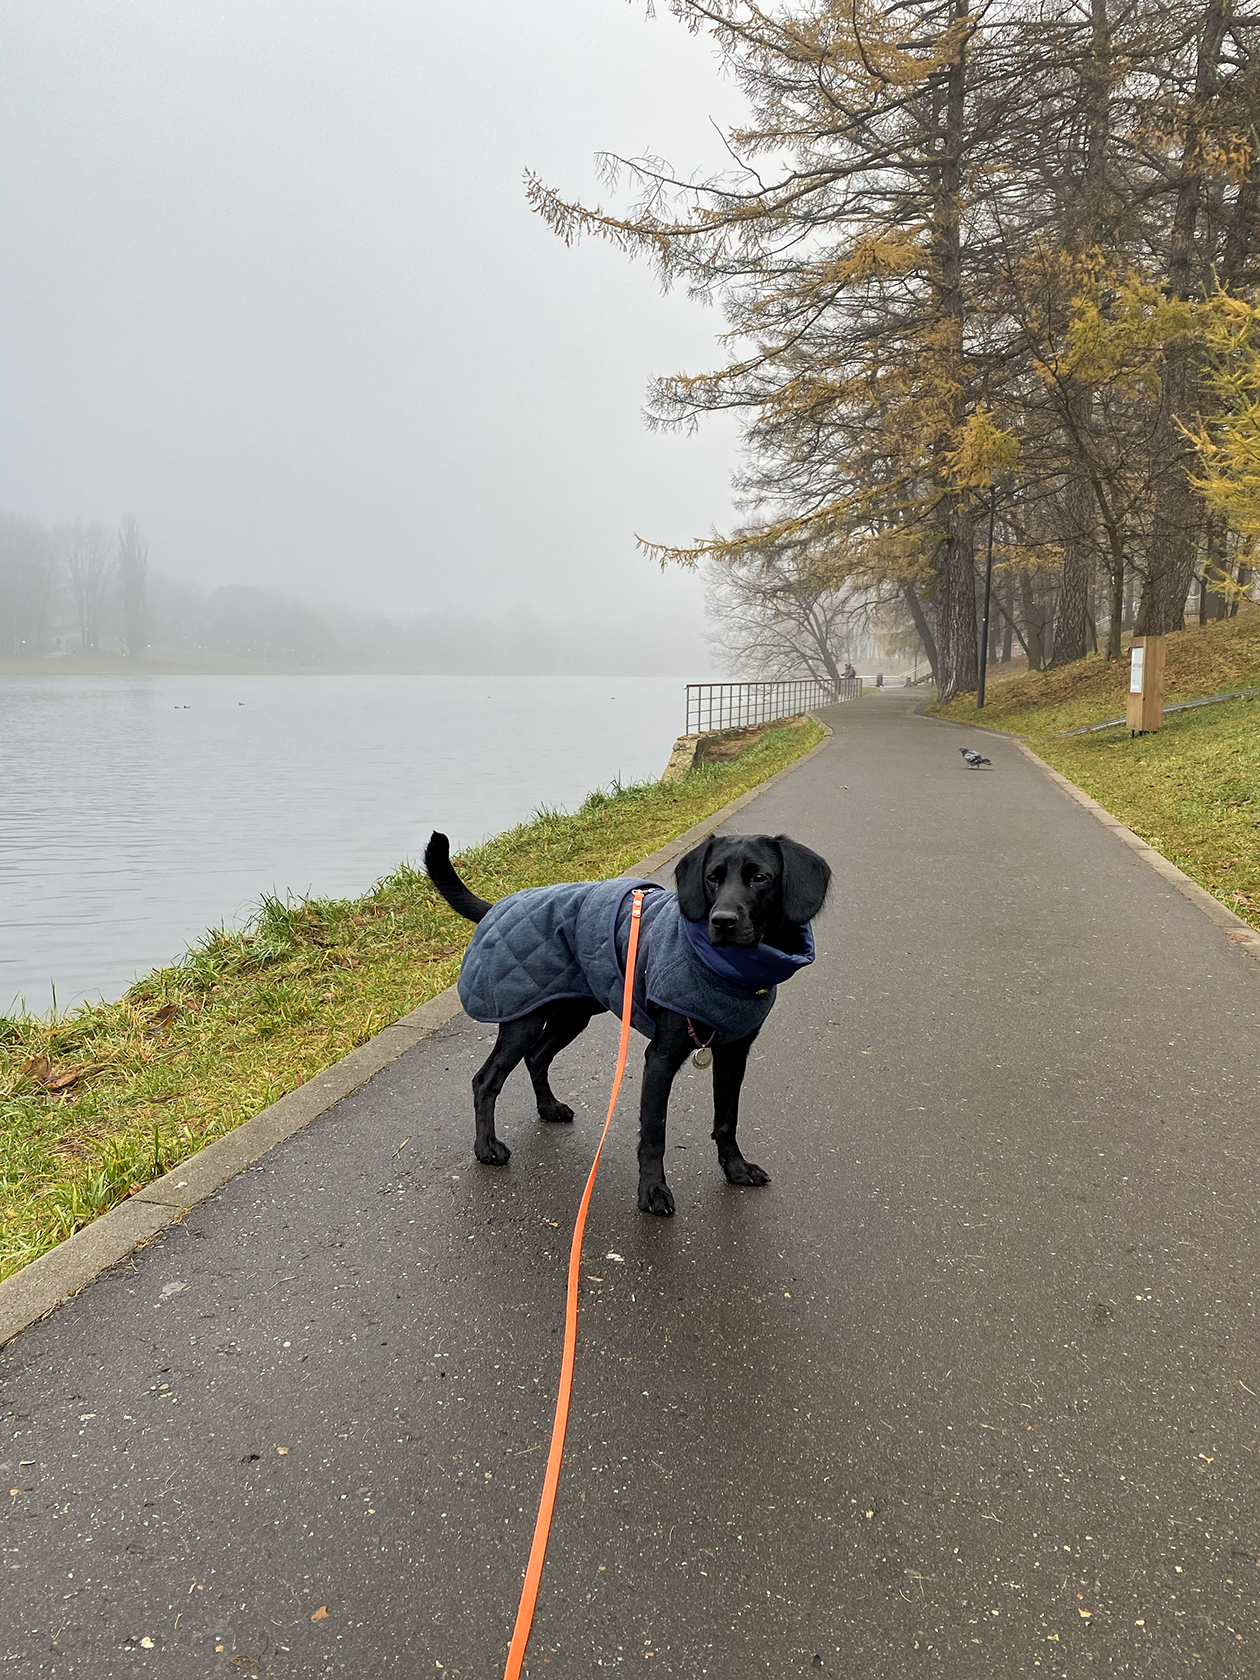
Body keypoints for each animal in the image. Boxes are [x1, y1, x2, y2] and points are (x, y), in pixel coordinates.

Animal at [430, 829, 833, 1216]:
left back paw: (549, 1108)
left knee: (538, 1057)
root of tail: (500, 904)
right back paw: (486, 1146)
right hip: (523, 1021)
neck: (729, 970)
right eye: (712, 878)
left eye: (760, 878)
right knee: (486, 1080)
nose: (722, 921)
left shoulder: (734, 1055)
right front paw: (652, 1191)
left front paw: (735, 1168)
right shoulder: (660, 1059)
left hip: (573, 1014)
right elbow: (654, 1133)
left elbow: (726, 1119)